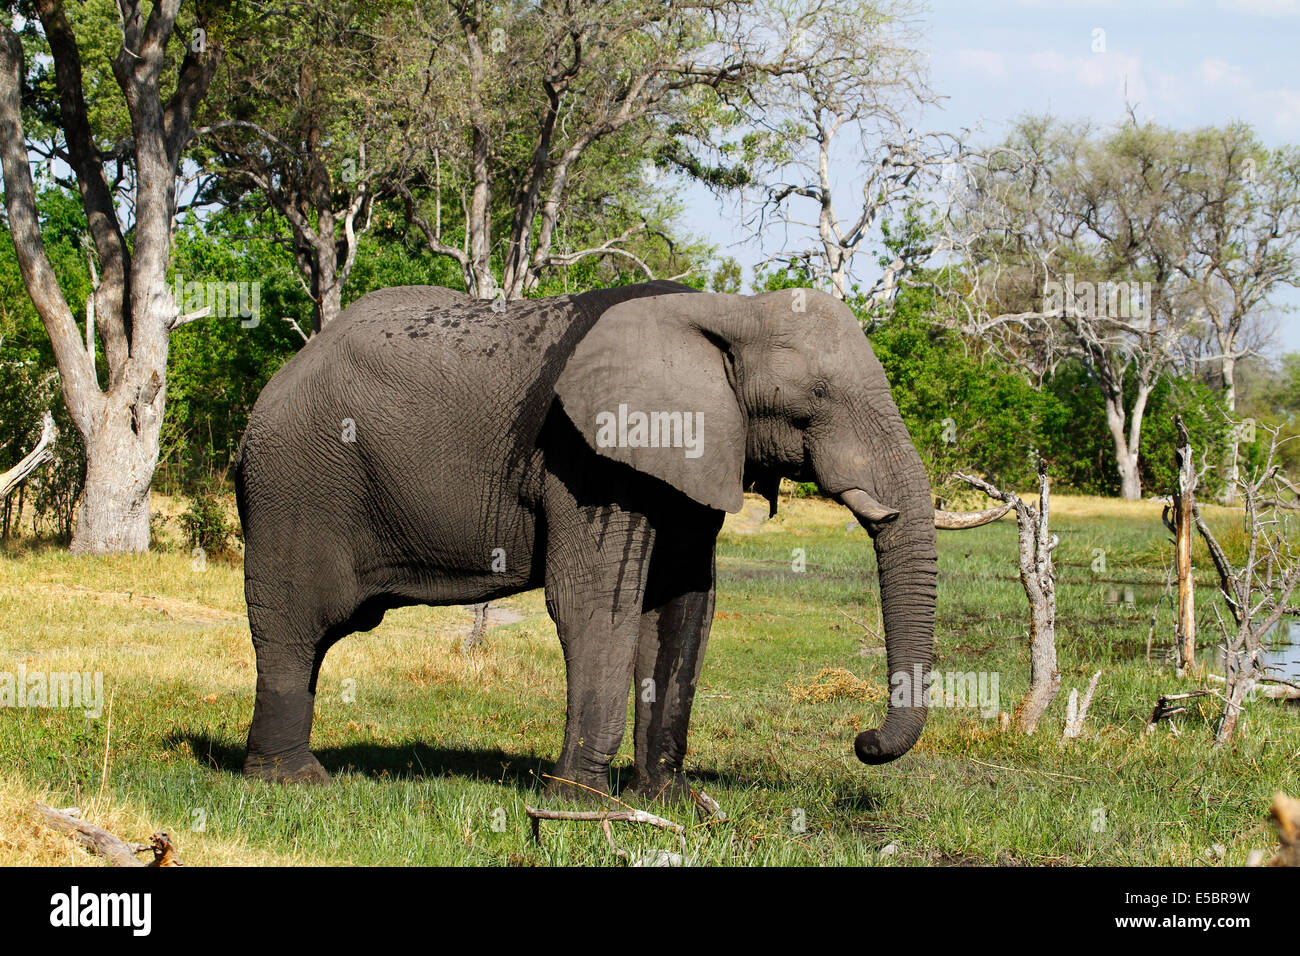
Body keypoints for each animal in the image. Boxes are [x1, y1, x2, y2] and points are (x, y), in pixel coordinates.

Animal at [234, 280, 1001, 796]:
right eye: (813, 399)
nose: (863, 742)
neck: (728, 309)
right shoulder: (592, 462)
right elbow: (596, 605)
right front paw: (581, 807)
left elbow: (684, 610)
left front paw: (673, 803)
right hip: (294, 481)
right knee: (295, 623)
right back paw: (296, 782)